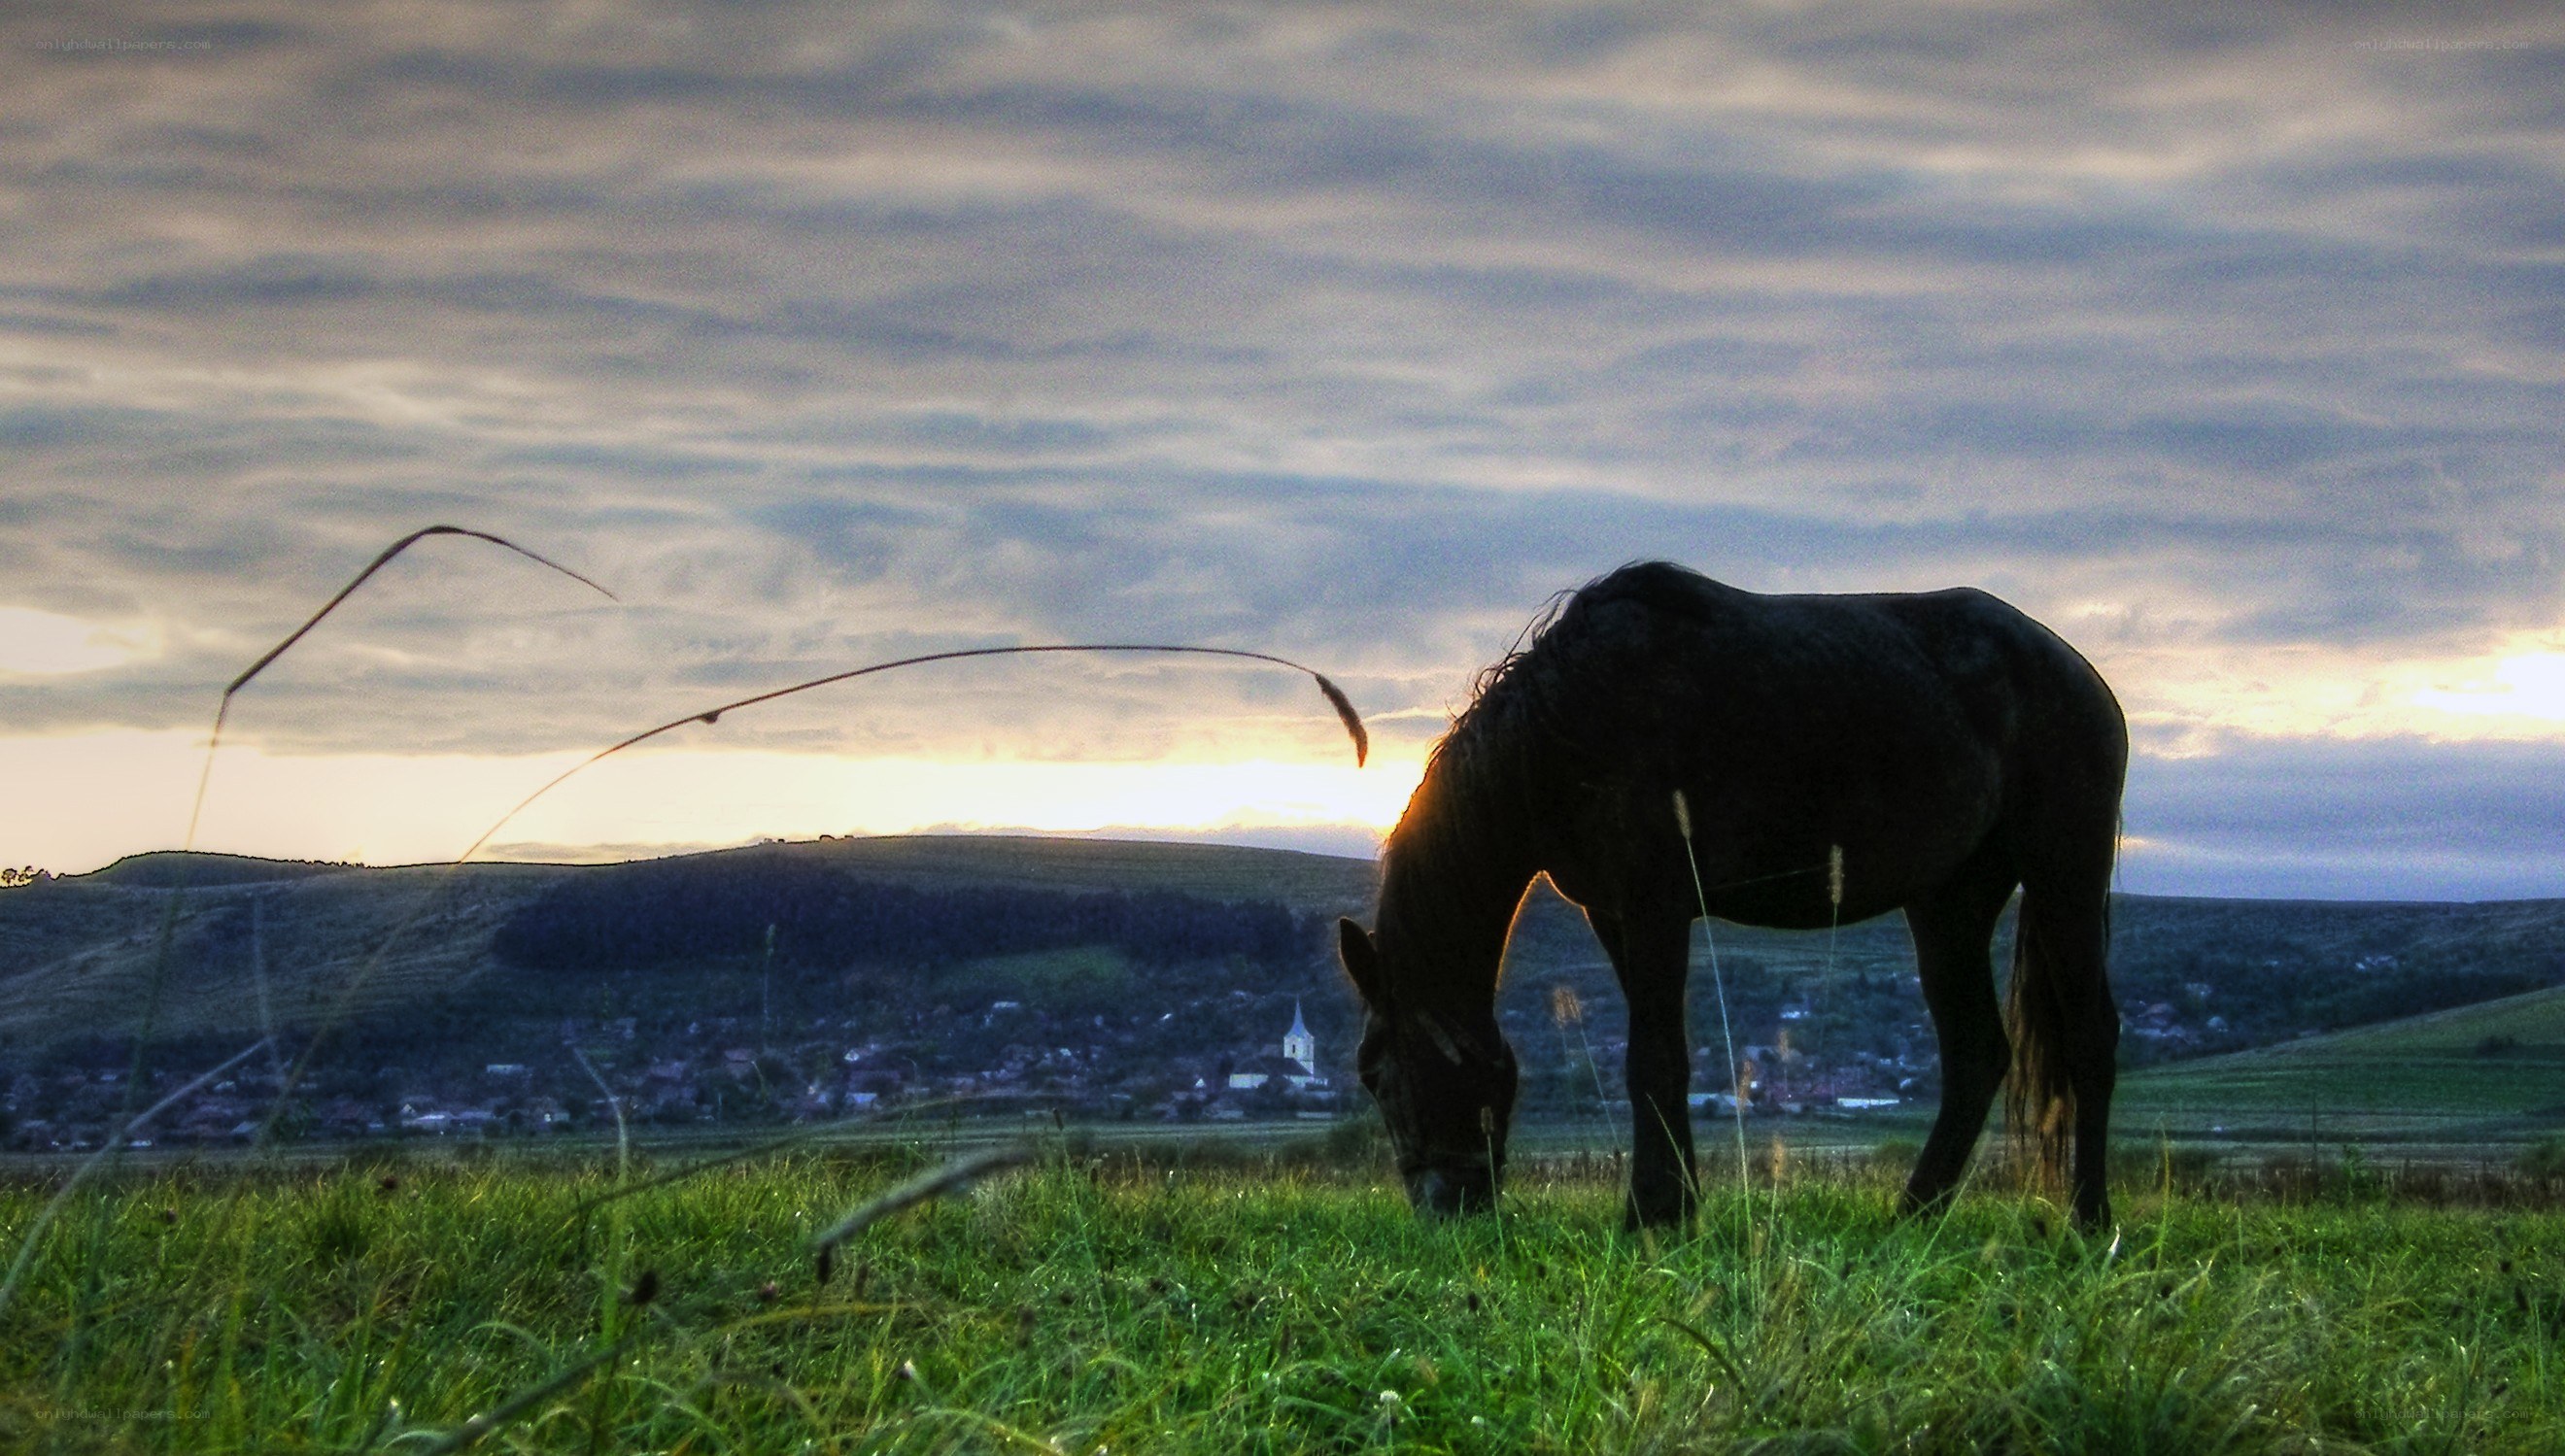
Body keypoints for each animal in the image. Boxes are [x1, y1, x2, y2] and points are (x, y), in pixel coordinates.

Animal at [1337, 561, 2128, 1230]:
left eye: (1375, 1072)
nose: (1445, 1204)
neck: (1568, 724)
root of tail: (2082, 675)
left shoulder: (1655, 904)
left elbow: (1651, 1059)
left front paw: (1649, 1215)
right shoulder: (1614, 914)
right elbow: (1664, 1059)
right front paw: (1677, 1208)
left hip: (2064, 873)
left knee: (2089, 1039)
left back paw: (2089, 1222)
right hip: (1950, 904)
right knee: (1975, 1054)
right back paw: (1914, 1216)